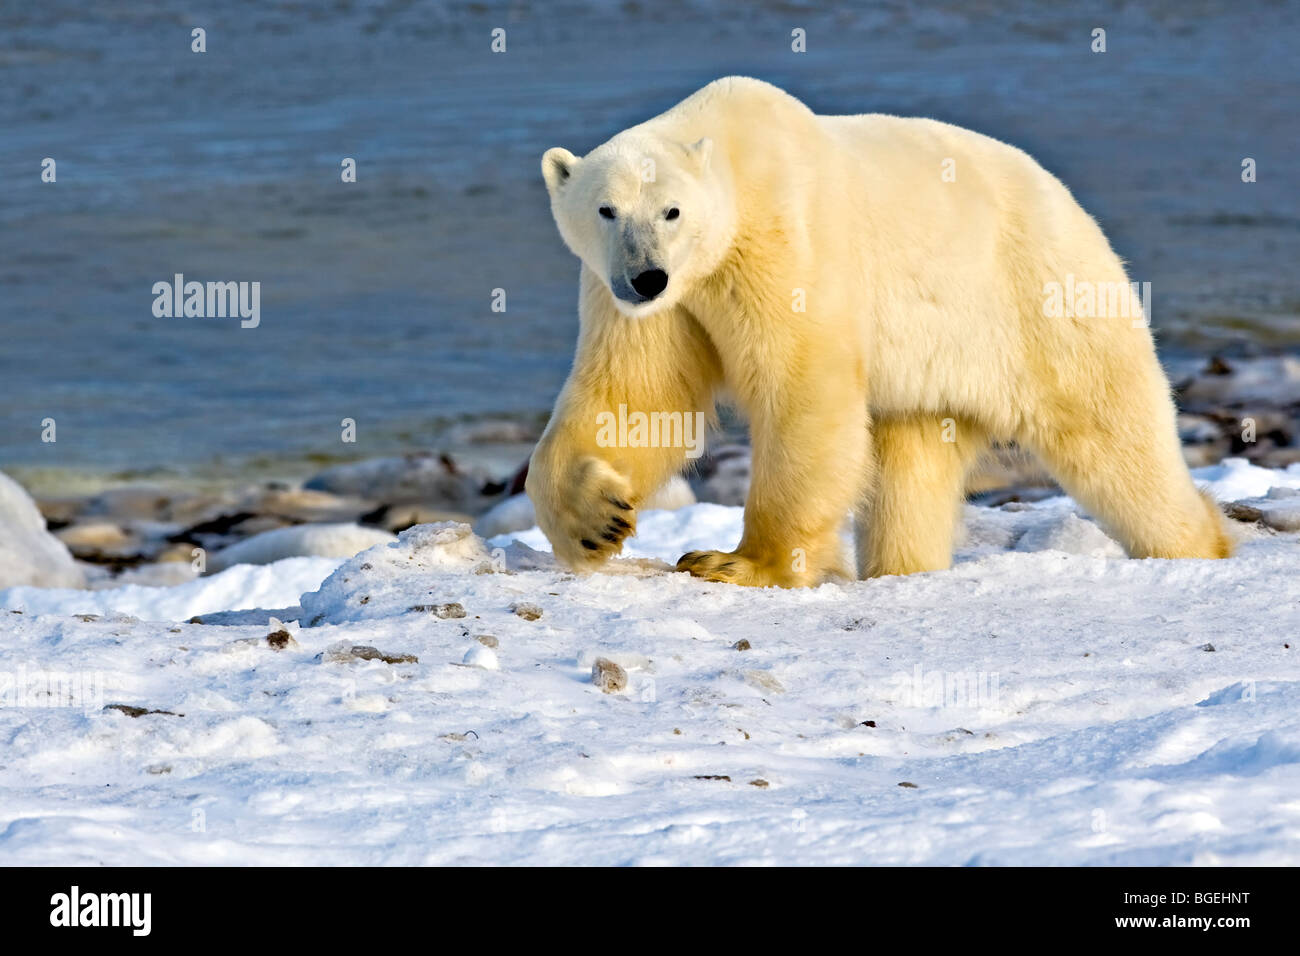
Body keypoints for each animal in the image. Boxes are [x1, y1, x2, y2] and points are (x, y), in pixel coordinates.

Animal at [525, 76, 1227, 582]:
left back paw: (1198, 545)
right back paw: (903, 569)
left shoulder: (787, 244)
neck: (737, 156)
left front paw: (737, 563)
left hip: (1044, 305)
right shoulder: (653, 301)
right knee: (911, 468)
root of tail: (1075, 208)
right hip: (938, 372)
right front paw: (595, 520)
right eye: (606, 209)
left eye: (671, 211)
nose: (648, 277)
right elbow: (638, 396)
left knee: (1116, 440)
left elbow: (804, 389)